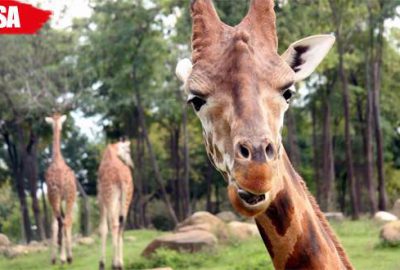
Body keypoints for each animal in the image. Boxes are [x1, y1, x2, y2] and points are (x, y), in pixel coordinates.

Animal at [97, 139, 134, 270]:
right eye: (128, 151)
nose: (132, 165)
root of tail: (121, 178)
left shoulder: (101, 197)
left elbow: (103, 228)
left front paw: (102, 263)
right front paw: (118, 262)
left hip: (110, 196)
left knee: (114, 224)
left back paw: (114, 264)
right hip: (127, 198)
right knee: (121, 225)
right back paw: (120, 264)